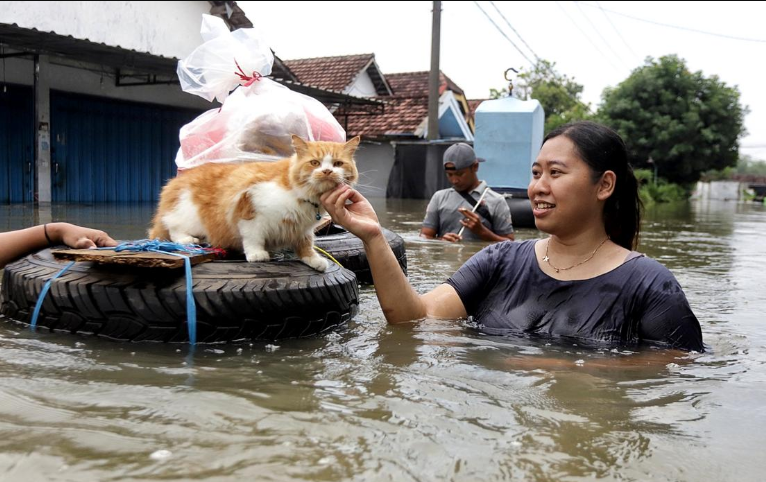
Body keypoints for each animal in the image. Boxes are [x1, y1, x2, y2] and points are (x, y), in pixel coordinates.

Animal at [152, 136, 364, 272]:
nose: (327, 172)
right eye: (315, 163)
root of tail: (174, 182)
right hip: (188, 214)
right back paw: (187, 239)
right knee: (172, 228)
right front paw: (257, 254)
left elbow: (306, 246)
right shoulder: (250, 209)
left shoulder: (302, 229)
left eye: (337, 164)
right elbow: (253, 237)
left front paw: (314, 260)